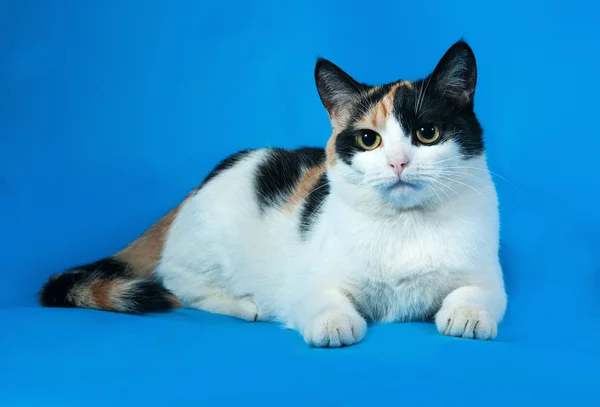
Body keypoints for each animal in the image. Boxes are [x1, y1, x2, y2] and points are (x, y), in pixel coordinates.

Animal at [37, 39, 506, 348]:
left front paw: (466, 315)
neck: (404, 225)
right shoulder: (312, 283)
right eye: (369, 140)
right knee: (178, 283)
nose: (398, 163)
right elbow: (325, 300)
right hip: (206, 249)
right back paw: (247, 306)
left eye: (427, 133)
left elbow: (476, 293)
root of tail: (196, 189)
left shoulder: (488, 276)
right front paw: (335, 324)